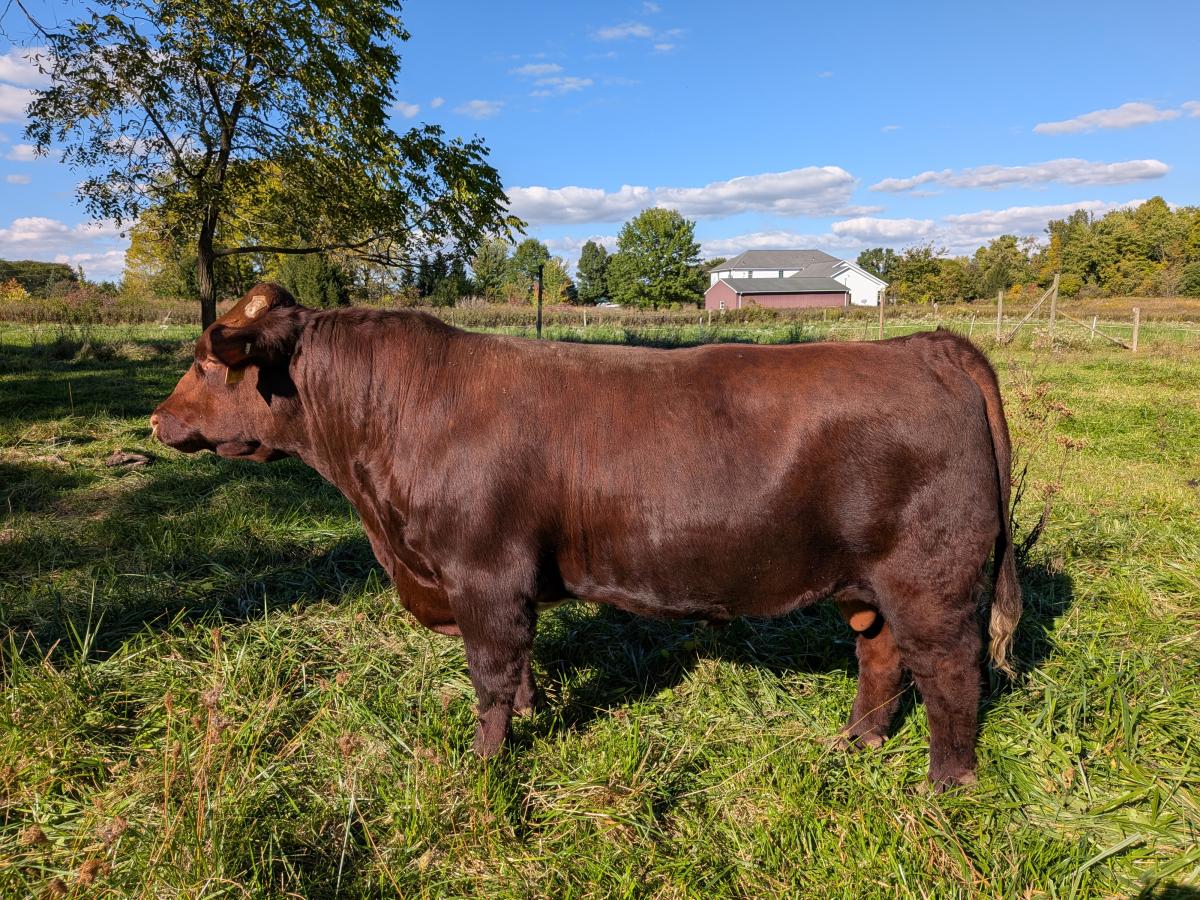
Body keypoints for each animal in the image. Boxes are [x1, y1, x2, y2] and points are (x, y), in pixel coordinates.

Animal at [152, 283, 1021, 789]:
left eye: (204, 362)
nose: (158, 419)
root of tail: (924, 345)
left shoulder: (482, 573)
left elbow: (490, 674)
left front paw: (484, 767)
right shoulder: (499, 584)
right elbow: (520, 664)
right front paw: (533, 716)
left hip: (933, 582)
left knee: (952, 675)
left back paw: (945, 786)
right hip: (868, 584)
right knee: (882, 657)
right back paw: (855, 744)